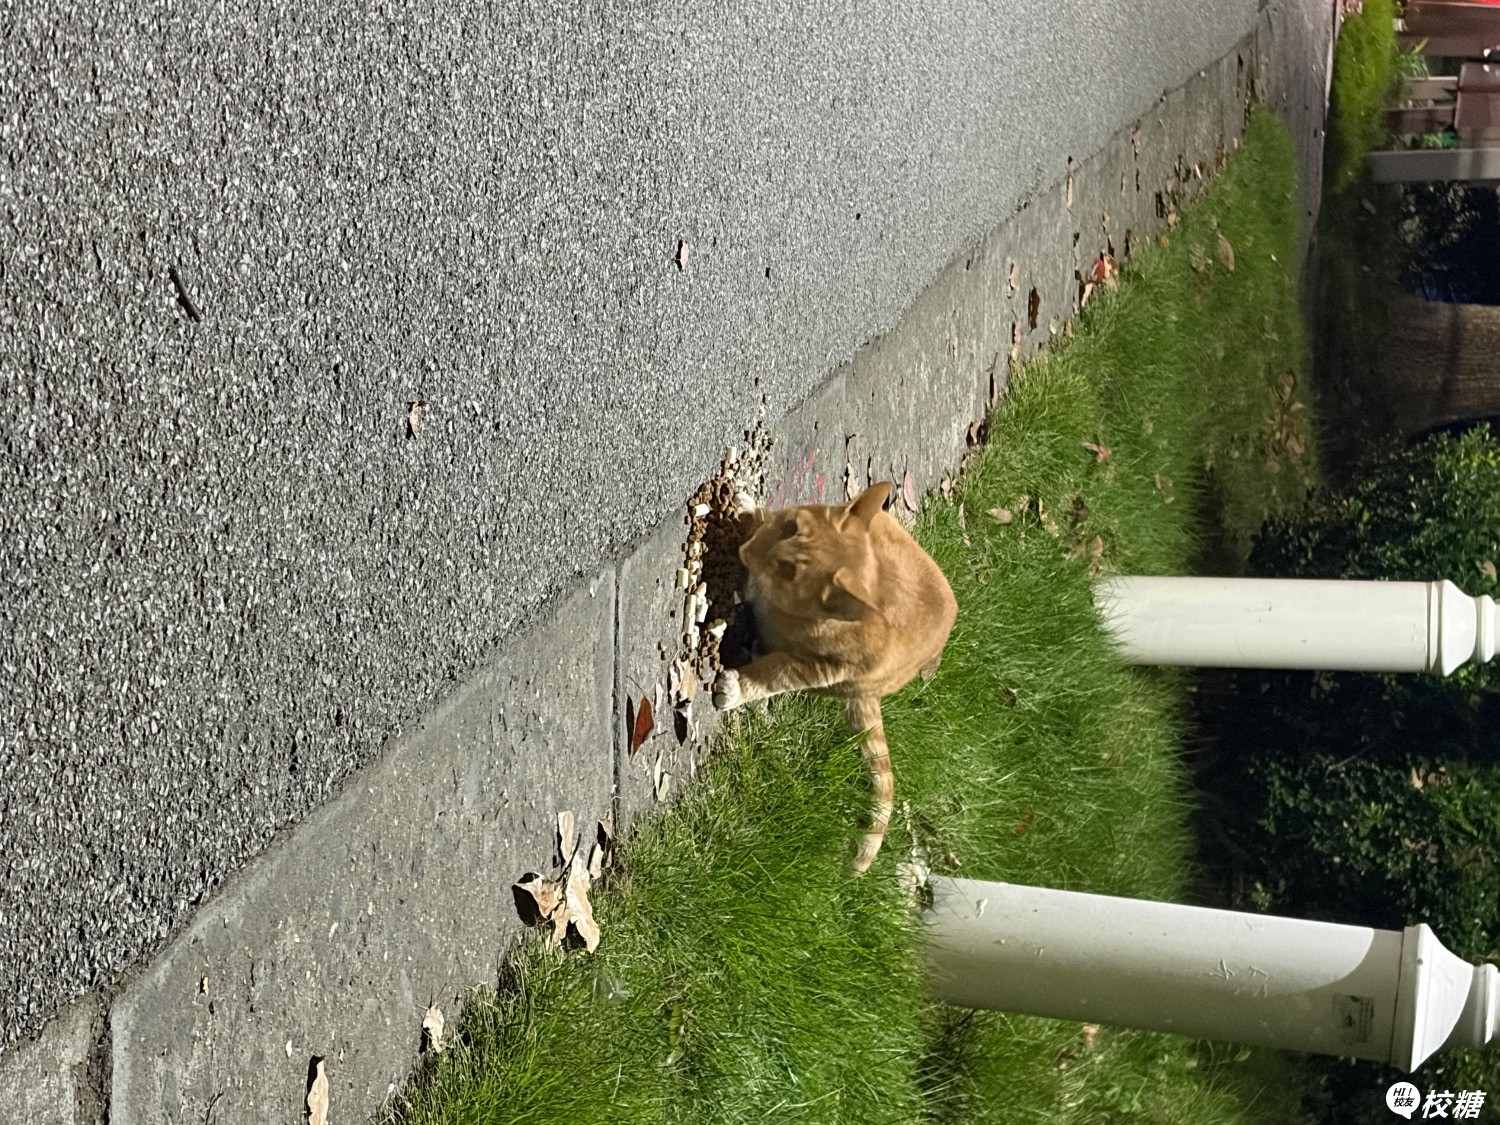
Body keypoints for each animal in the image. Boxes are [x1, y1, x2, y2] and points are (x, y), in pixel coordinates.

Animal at [712, 480, 957, 873]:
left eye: (788, 571)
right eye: (790, 527)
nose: (745, 550)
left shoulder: (818, 669)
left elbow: (775, 674)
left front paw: (737, 688)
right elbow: (763, 516)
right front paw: (750, 510)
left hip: (849, 683)